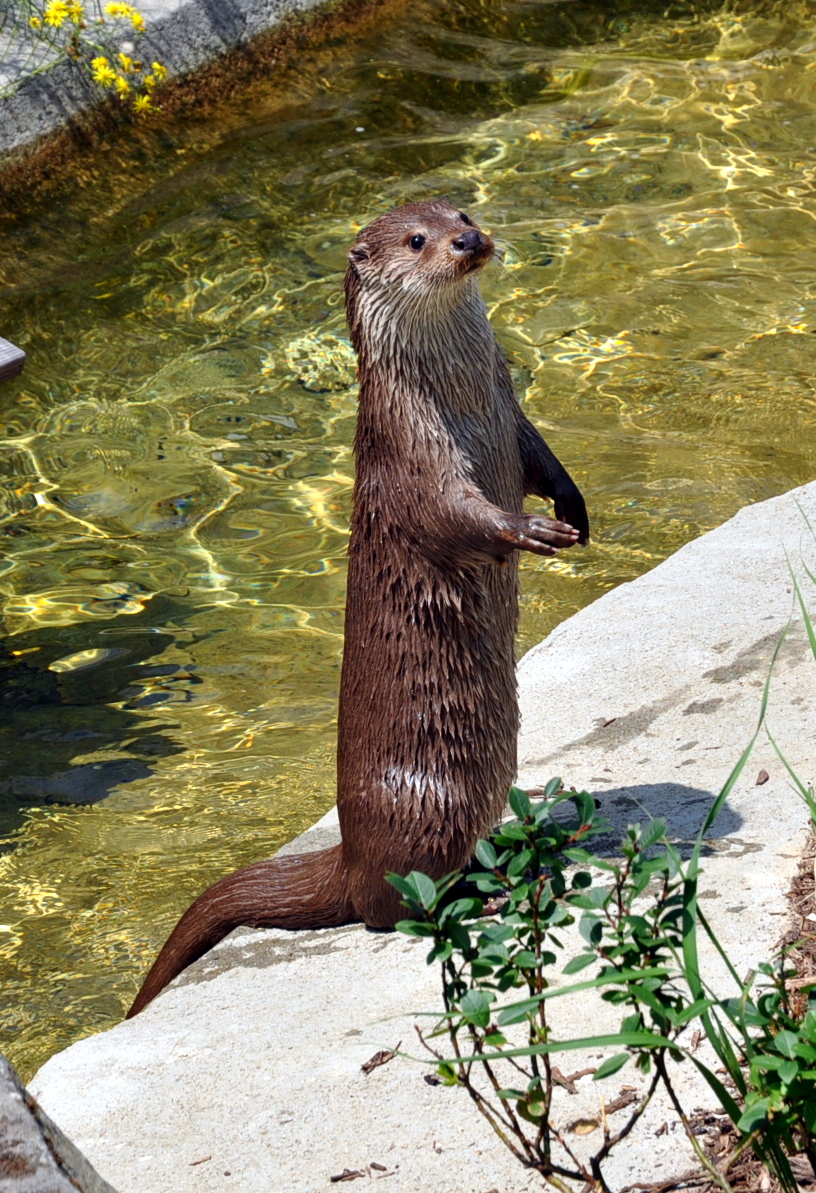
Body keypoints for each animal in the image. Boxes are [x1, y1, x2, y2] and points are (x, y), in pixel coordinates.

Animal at [125, 202, 586, 1016]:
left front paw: (572, 506)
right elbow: (460, 517)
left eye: (461, 210)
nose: (468, 240)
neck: (465, 403)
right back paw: (482, 895)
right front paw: (531, 529)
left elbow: (542, 459)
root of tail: (348, 854)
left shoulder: (514, 416)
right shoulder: (414, 459)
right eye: (417, 240)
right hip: (430, 804)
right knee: (387, 908)